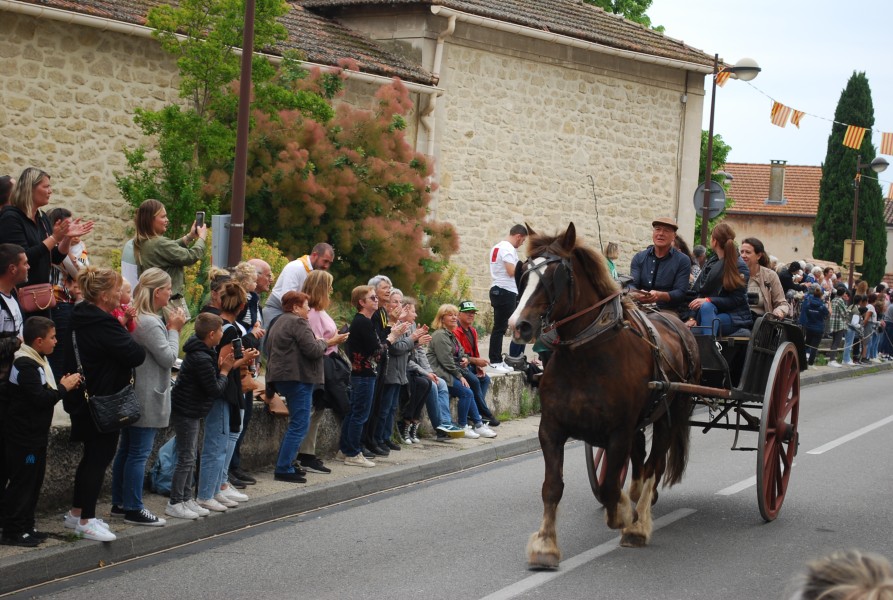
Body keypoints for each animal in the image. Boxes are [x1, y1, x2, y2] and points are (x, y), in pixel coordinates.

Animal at [508, 224, 696, 568]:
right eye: (524, 273)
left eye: (556, 275)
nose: (519, 325)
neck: (586, 354)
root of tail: (677, 323)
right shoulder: (551, 429)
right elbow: (552, 487)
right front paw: (545, 545)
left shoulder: (618, 432)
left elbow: (609, 485)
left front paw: (622, 516)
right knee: (641, 460)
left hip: (669, 415)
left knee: (655, 465)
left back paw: (639, 523)